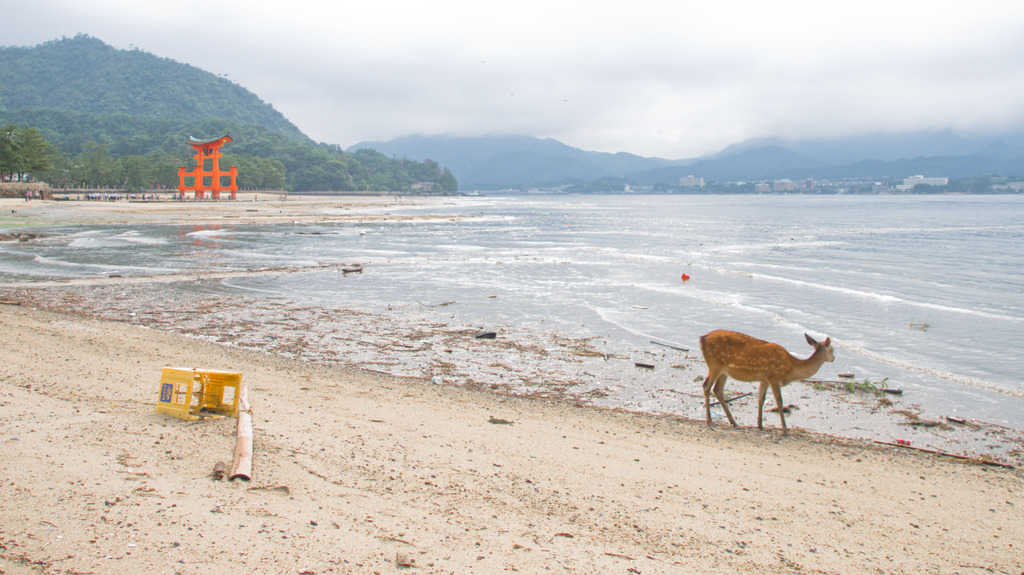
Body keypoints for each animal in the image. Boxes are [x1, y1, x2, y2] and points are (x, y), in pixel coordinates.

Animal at [700, 327, 835, 433]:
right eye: (832, 349)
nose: (833, 358)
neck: (791, 367)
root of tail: (702, 339)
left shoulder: (764, 379)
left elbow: (761, 399)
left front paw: (760, 425)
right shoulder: (774, 376)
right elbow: (779, 401)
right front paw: (785, 430)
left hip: (724, 371)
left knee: (717, 390)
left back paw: (734, 422)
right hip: (715, 364)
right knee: (706, 386)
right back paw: (710, 421)